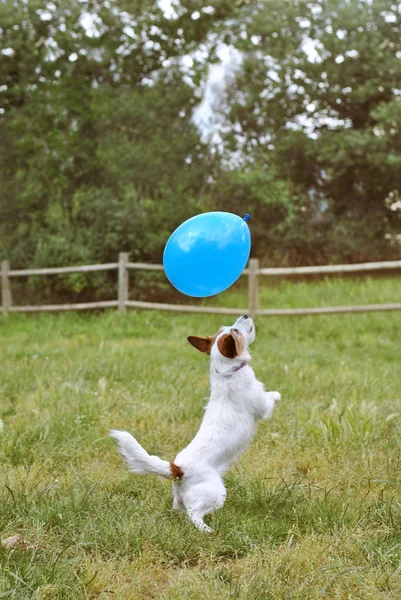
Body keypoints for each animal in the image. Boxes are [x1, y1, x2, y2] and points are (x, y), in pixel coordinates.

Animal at [108, 316, 278, 532]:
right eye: (236, 331)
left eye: (228, 327)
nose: (245, 316)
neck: (226, 373)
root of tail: (177, 469)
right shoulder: (262, 407)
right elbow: (270, 398)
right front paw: (277, 394)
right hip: (216, 493)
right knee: (194, 513)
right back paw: (206, 530)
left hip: (181, 497)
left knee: (180, 508)